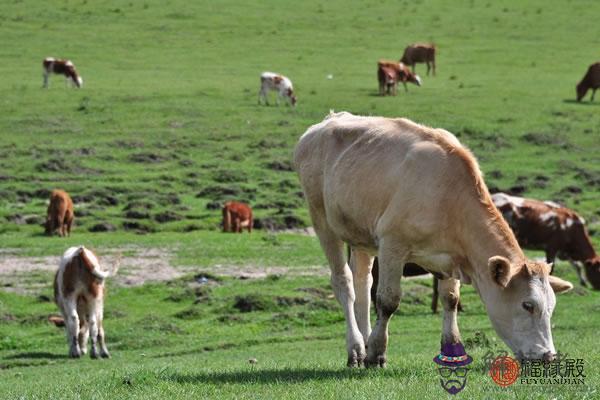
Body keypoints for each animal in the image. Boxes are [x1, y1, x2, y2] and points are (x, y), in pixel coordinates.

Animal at [294, 111, 572, 368]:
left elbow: (450, 299)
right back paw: (356, 349)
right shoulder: (392, 244)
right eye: (527, 305)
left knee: (363, 282)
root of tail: (325, 123)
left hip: (360, 233)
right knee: (345, 283)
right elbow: (388, 301)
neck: (448, 197)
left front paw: (452, 347)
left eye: (551, 307)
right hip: (322, 219)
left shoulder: (451, 257)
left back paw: (364, 341)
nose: (548, 356)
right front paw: (377, 352)